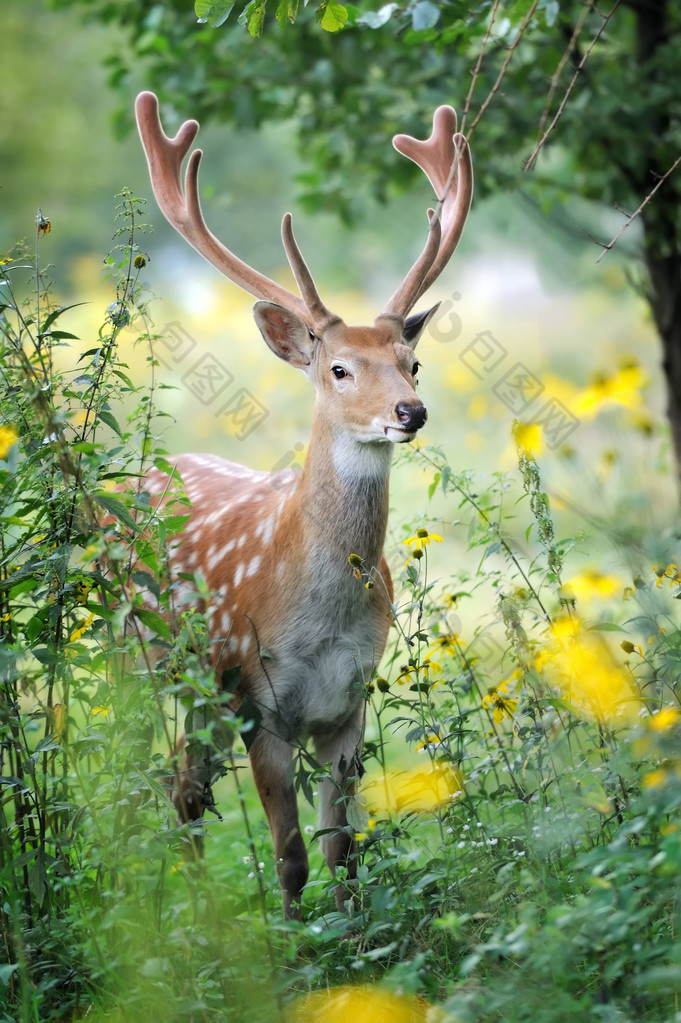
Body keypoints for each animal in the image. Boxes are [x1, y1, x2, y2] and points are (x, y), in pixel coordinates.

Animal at [132, 90, 472, 920]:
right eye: (339, 368)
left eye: (413, 361)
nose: (410, 411)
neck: (316, 621)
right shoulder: (259, 700)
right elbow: (289, 854)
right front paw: (289, 942)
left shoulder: (348, 705)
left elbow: (342, 849)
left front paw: (351, 939)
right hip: (150, 658)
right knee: (158, 777)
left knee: (185, 789)